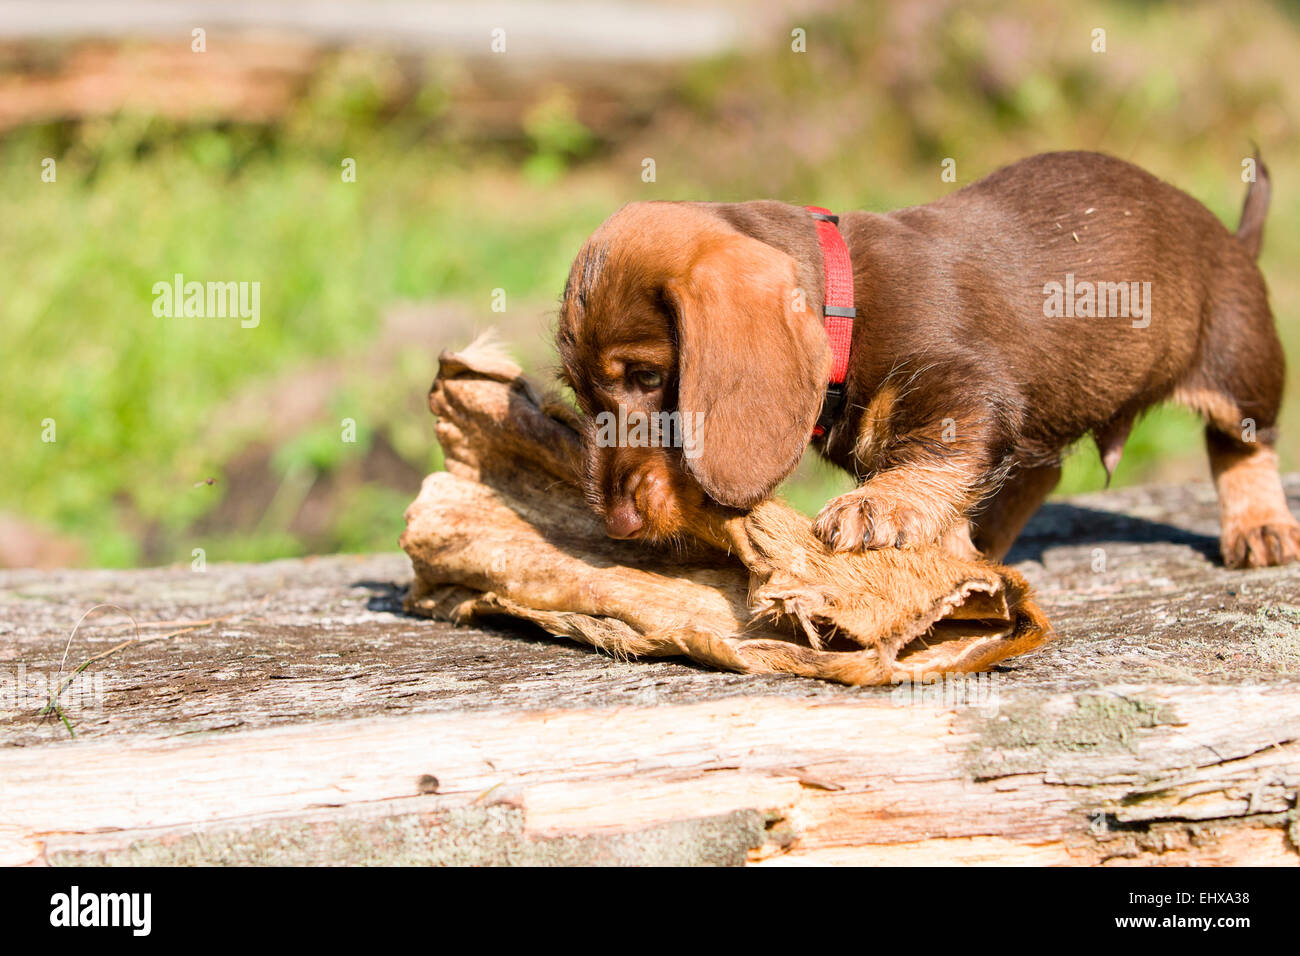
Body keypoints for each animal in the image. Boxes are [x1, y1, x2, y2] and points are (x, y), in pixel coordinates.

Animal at [556, 149, 1300, 567]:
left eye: (649, 377)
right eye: (580, 396)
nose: (616, 524)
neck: (846, 305)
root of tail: (1231, 237)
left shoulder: (963, 392)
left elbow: (929, 455)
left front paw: (876, 507)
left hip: (1238, 365)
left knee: (1244, 447)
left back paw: (1260, 526)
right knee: (1038, 472)